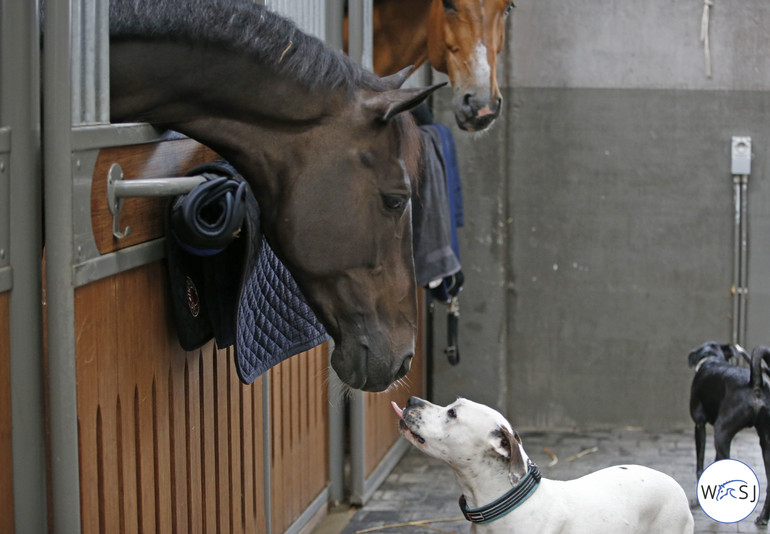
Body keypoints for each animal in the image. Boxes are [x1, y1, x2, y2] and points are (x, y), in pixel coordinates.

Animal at [688, 344, 768, 528]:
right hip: (766, 443)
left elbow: (700, 463)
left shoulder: (699, 425)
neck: (712, 358)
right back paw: (763, 518)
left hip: (722, 432)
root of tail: (755, 382)